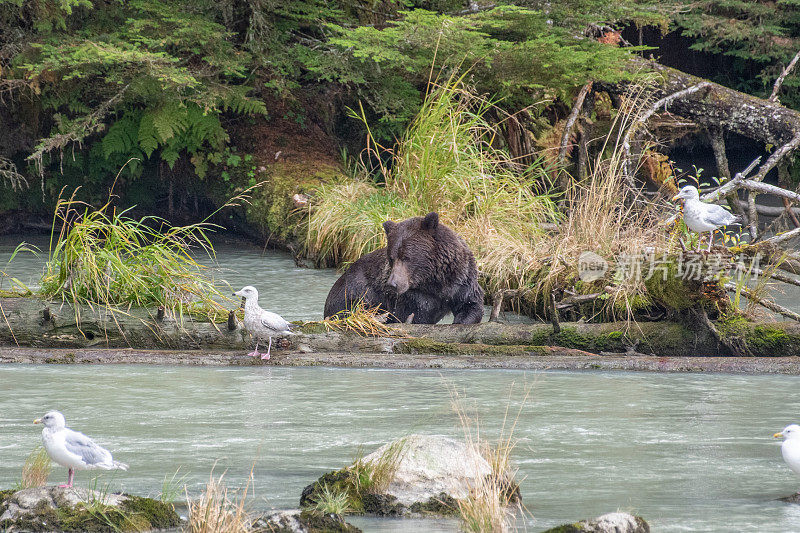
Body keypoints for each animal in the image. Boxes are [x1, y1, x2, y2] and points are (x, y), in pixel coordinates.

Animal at [322, 212, 484, 324]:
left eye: (406, 257)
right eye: (391, 258)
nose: (392, 284)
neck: (434, 281)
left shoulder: (461, 278)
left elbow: (471, 305)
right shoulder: (412, 298)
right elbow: (412, 316)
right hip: (353, 292)